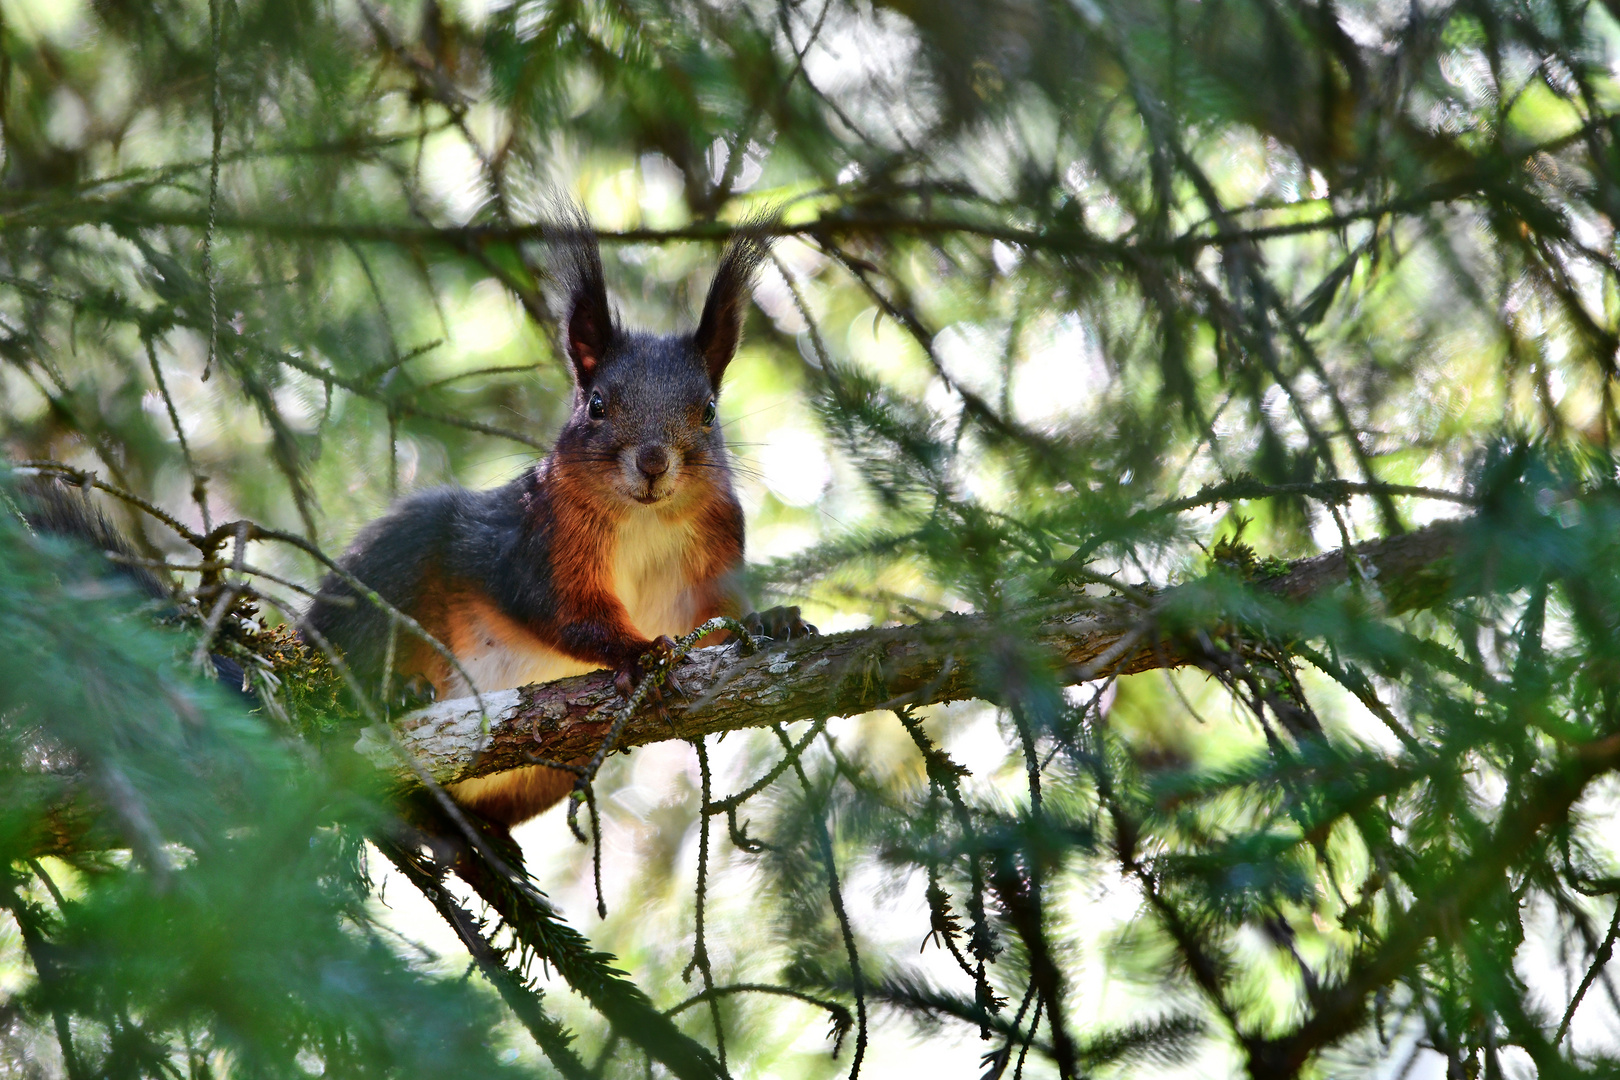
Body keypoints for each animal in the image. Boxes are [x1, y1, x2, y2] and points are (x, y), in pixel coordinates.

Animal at [304, 216, 810, 829]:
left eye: (709, 411)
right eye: (596, 405)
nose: (653, 462)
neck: (645, 518)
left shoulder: (715, 544)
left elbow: (716, 620)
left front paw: (770, 620)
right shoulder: (541, 538)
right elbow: (561, 607)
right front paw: (640, 654)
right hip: (386, 573)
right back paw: (393, 693)